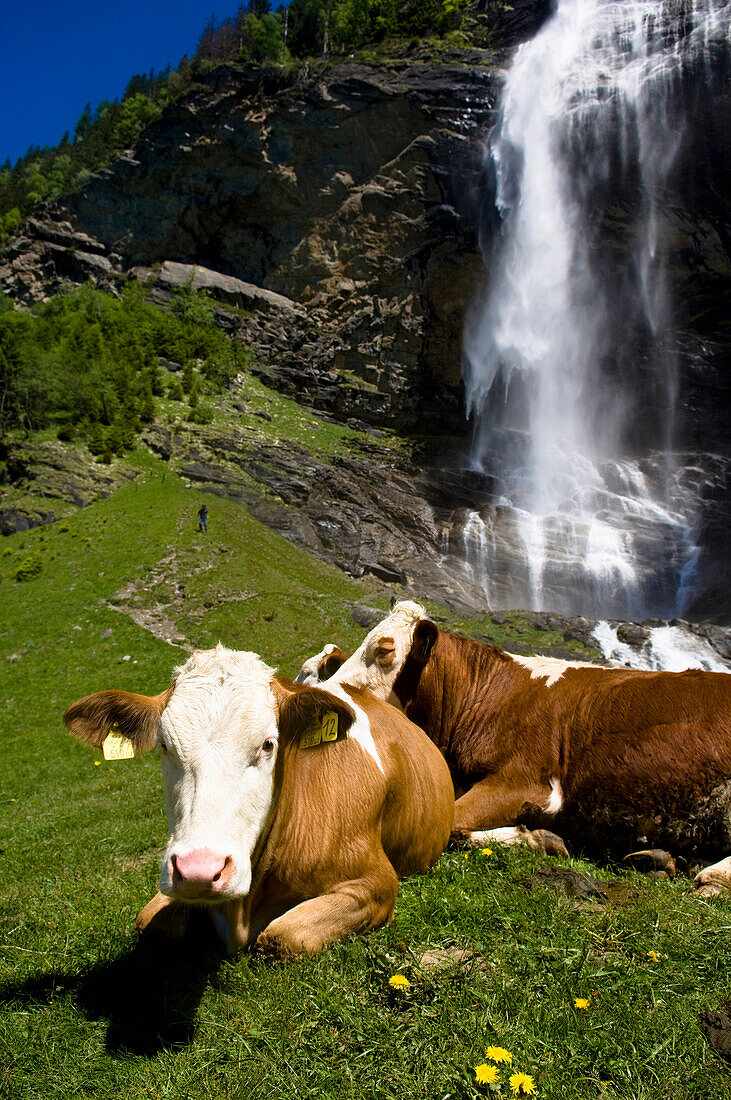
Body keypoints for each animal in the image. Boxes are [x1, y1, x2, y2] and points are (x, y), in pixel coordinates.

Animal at [64, 642, 450, 954]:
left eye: (268, 744)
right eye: (164, 745)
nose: (198, 872)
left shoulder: (375, 881)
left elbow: (281, 938)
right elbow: (148, 922)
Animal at [301, 602, 729, 893]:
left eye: (385, 649)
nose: (324, 693)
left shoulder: (526, 783)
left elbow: (452, 825)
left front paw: (536, 838)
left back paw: (711, 874)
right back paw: (660, 857)